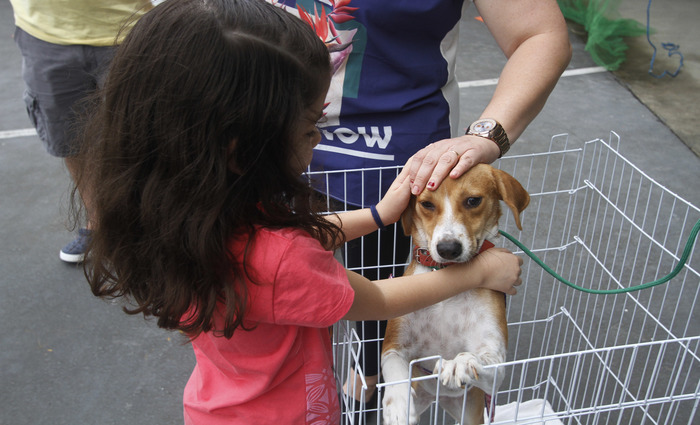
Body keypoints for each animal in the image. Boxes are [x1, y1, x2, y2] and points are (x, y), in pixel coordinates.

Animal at [380, 163, 528, 424]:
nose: (448, 249)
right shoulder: (393, 345)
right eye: (426, 204)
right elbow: (395, 369)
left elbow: (482, 361)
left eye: (473, 200)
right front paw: (397, 405)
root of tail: (439, 398)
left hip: (471, 412)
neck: (446, 279)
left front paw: (461, 363)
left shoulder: (495, 357)